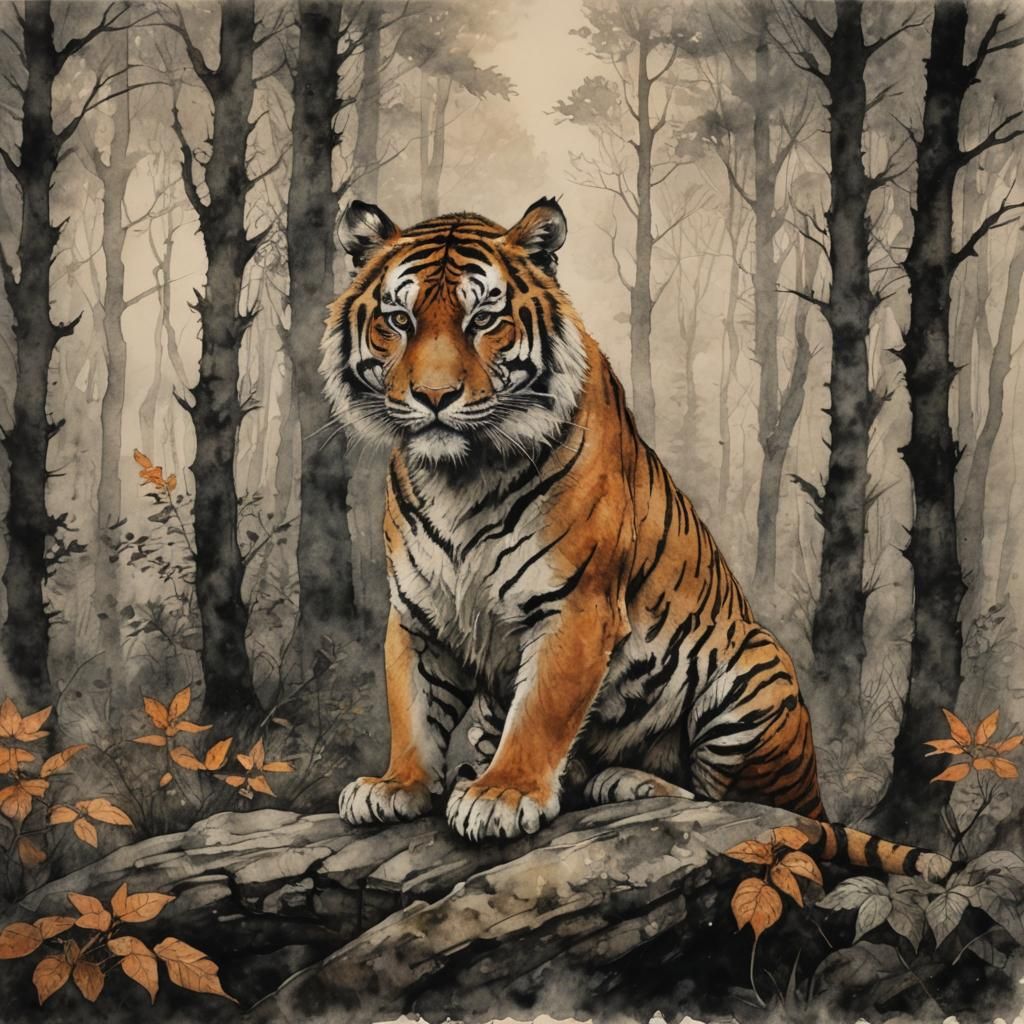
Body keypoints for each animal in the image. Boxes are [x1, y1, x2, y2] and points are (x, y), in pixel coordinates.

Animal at [321, 196, 953, 883]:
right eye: (399, 319)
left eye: (483, 318)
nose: (434, 397)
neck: (459, 475)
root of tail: (816, 796)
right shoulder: (419, 613)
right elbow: (412, 706)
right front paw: (398, 785)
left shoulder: (576, 604)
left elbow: (540, 712)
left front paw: (502, 794)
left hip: (754, 674)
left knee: (740, 808)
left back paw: (619, 782)